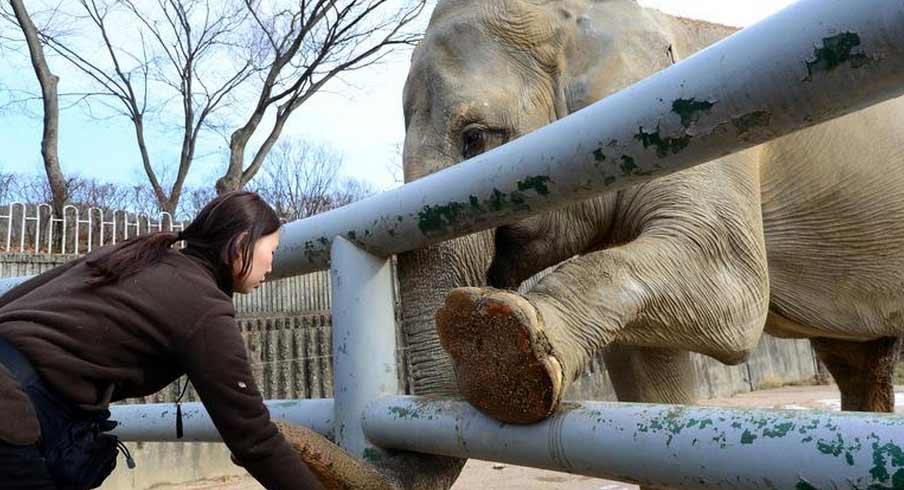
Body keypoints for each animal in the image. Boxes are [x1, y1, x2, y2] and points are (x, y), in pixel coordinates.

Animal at [400, 0, 904, 442]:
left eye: (475, 139)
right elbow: (647, 370)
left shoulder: (706, 126)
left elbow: (734, 289)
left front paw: (499, 345)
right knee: (858, 363)